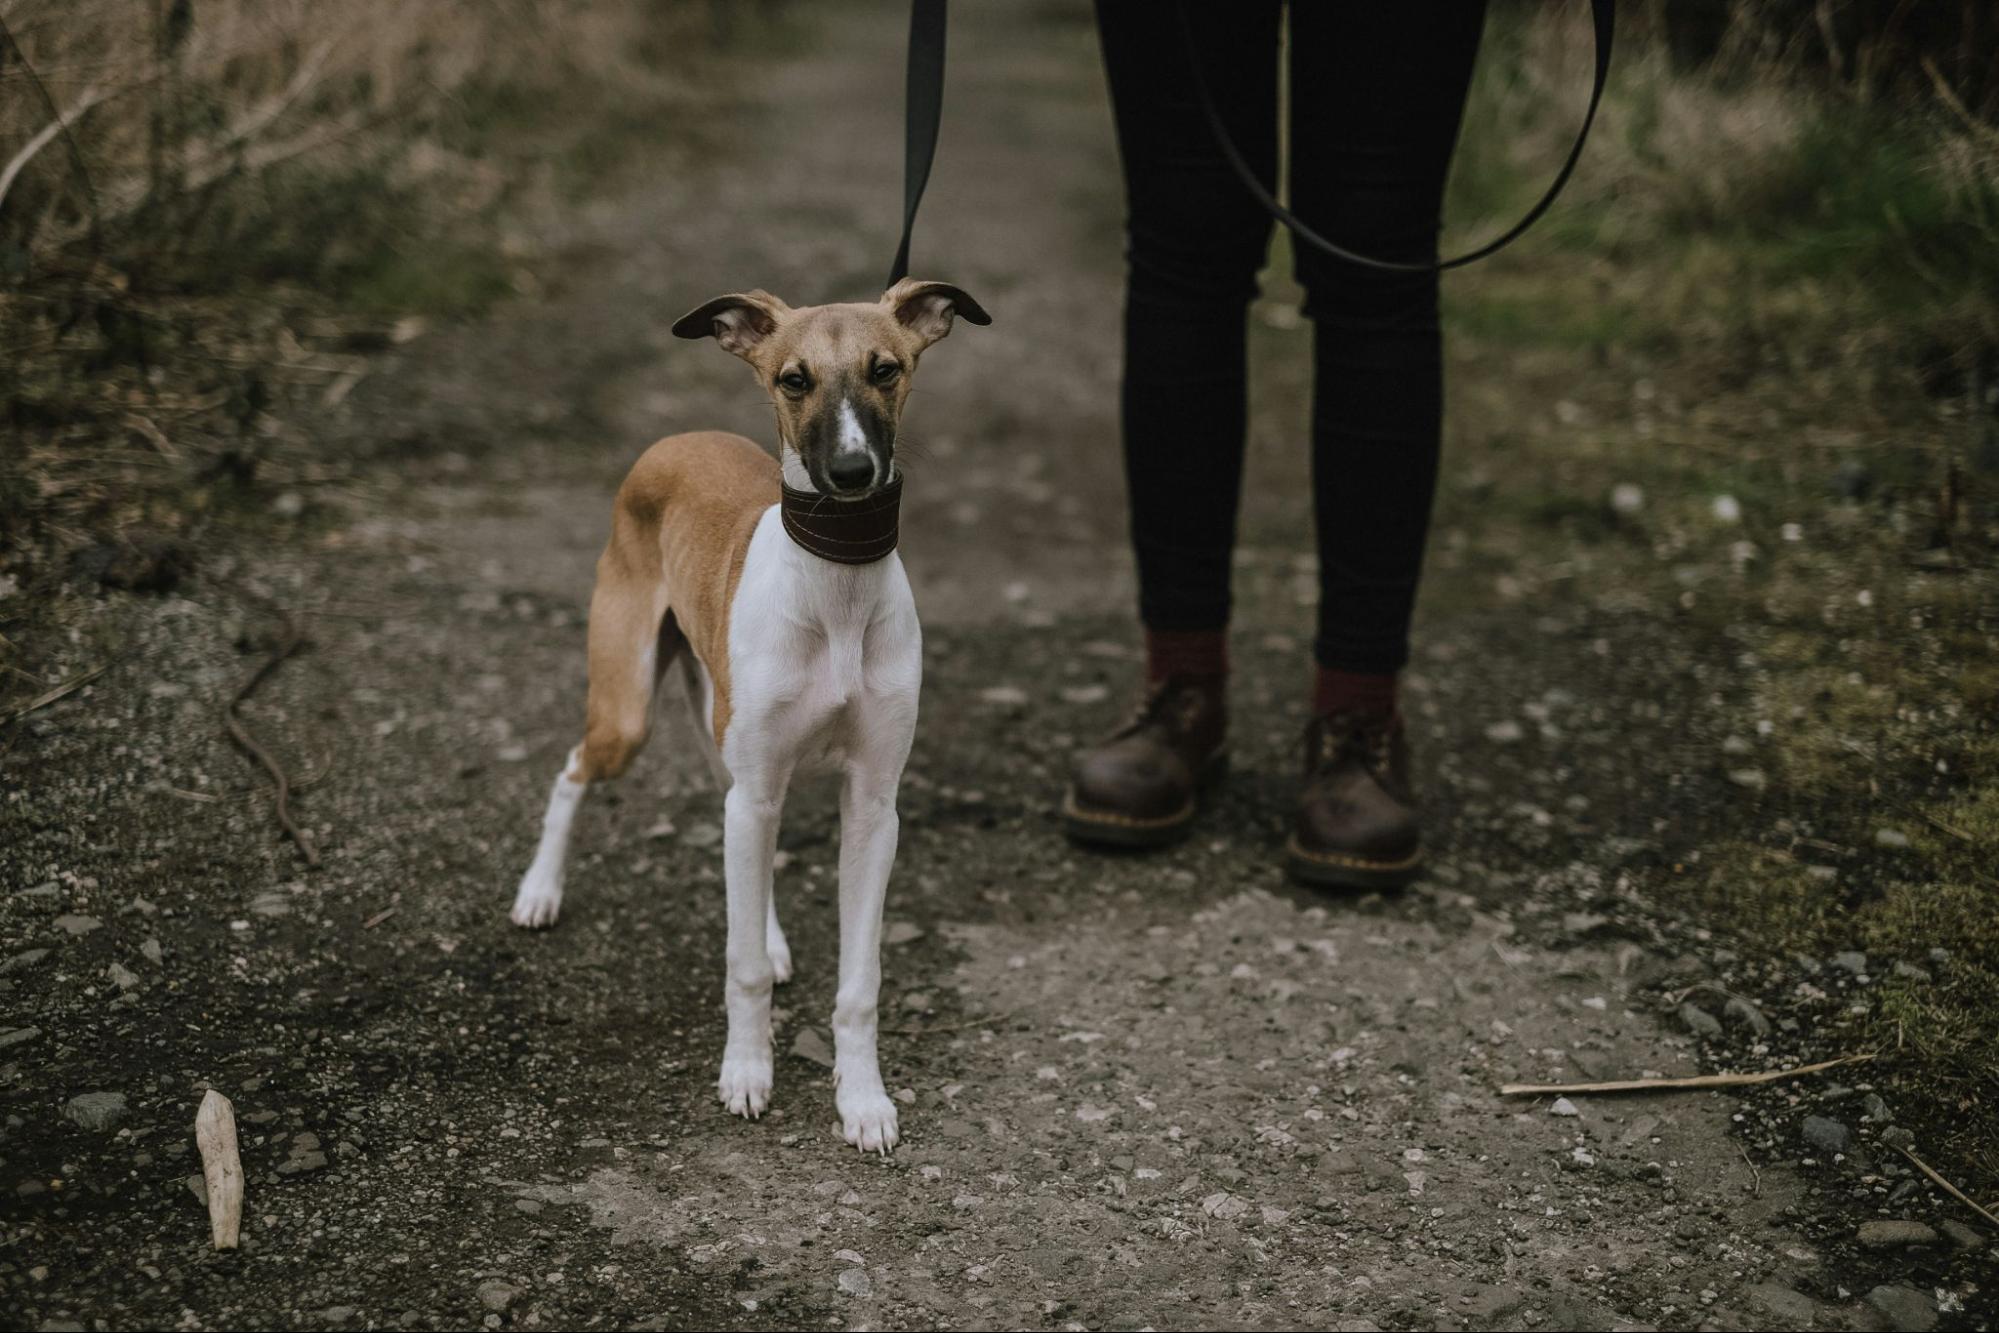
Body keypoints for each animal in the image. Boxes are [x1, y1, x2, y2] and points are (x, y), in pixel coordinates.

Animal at [511, 275, 987, 1151]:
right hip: (628, 712)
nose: (850, 472)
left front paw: (862, 1098)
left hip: (728, 742)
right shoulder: (758, 782)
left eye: (886, 369)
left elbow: (859, 979)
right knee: (573, 770)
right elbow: (741, 967)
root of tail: (677, 437)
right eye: (793, 380)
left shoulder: (873, 807)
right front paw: (746, 1071)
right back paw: (539, 890)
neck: (835, 587)